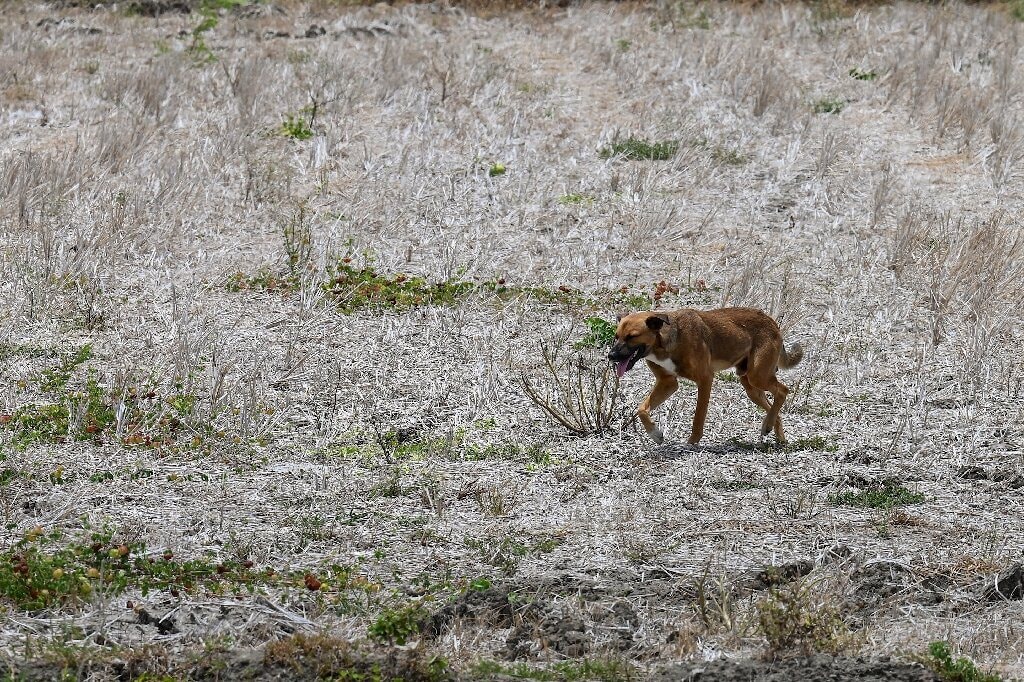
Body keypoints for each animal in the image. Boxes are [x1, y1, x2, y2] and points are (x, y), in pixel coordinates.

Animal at [602, 305, 802, 444]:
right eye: (616, 336)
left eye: (632, 336)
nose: (610, 356)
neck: (664, 344)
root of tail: (772, 322)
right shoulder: (668, 383)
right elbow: (641, 409)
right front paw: (655, 434)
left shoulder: (705, 380)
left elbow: (699, 416)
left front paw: (692, 441)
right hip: (751, 386)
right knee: (773, 404)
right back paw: (775, 432)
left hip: (758, 376)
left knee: (783, 391)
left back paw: (769, 425)